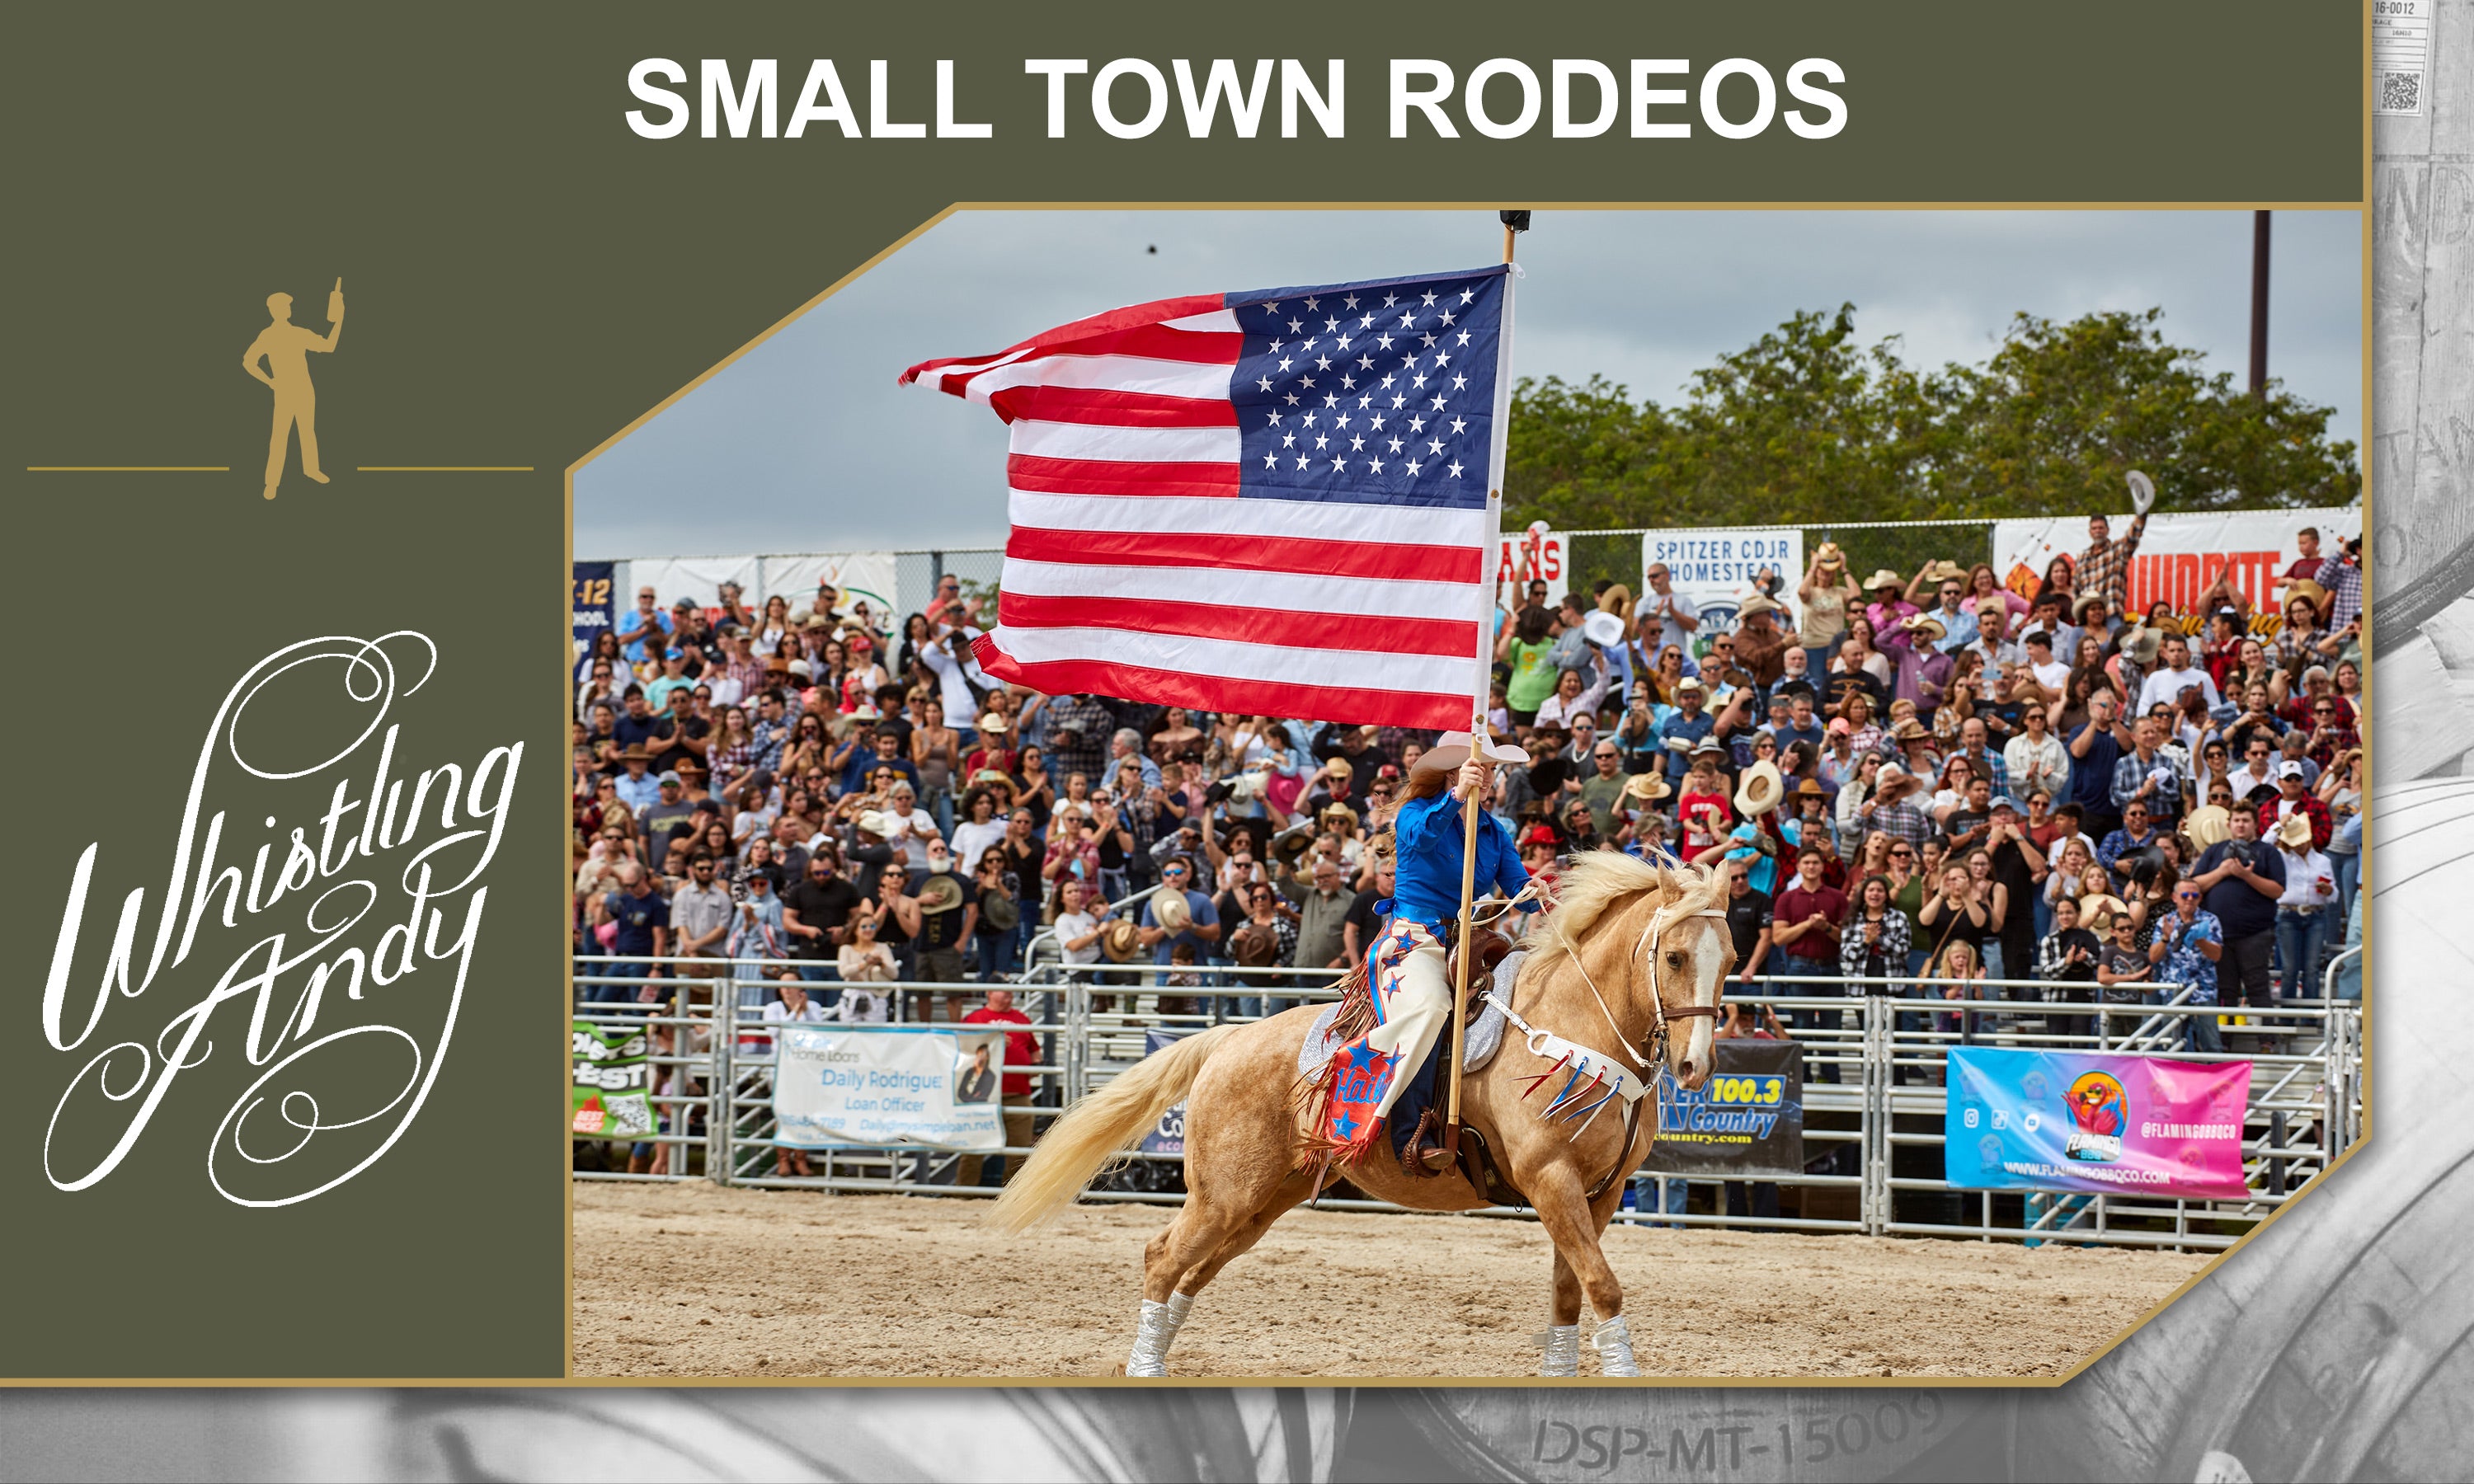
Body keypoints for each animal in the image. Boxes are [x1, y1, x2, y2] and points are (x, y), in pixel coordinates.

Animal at [975, 851, 1732, 1375]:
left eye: (1727, 960)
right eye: (1674, 955)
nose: (1696, 1067)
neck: (1569, 1025)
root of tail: (1228, 1038)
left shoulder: (1597, 1194)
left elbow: (1570, 1291)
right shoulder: (1551, 1180)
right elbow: (1602, 1286)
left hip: (1261, 1202)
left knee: (1196, 1270)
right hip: (1223, 1195)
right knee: (1163, 1258)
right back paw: (1144, 1368)